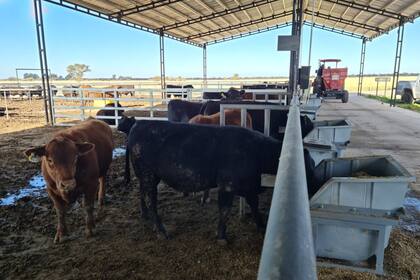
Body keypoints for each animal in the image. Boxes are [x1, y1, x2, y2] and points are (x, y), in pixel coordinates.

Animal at [121, 120, 316, 243]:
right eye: (309, 170)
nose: (311, 191)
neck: (256, 150)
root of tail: (138, 124)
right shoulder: (227, 185)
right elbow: (225, 210)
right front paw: (222, 236)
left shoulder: (250, 187)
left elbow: (254, 205)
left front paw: (261, 225)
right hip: (148, 174)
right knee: (150, 199)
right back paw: (161, 230)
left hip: (146, 176)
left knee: (142, 193)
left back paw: (145, 216)